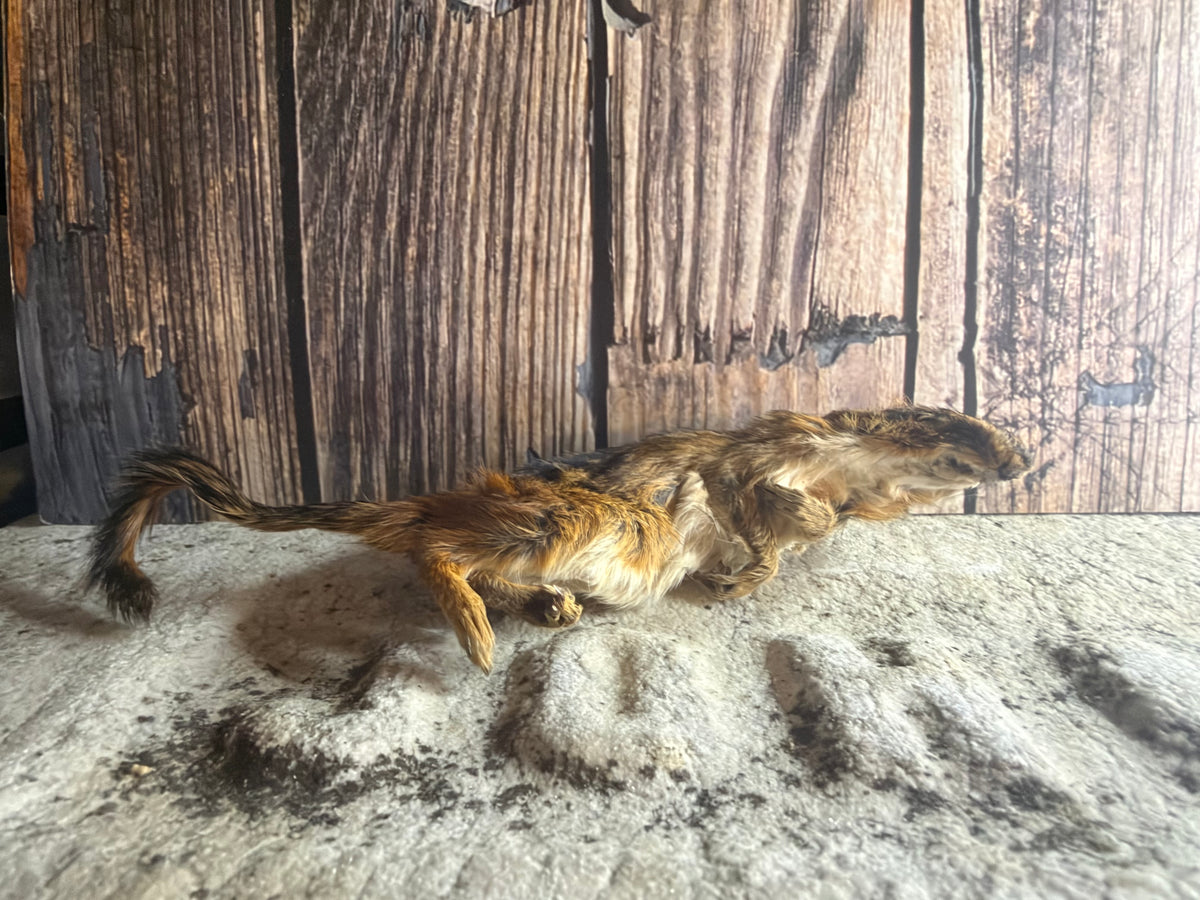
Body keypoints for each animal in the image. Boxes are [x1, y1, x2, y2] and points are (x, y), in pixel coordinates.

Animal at [87, 404, 1031, 673]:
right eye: (968, 425)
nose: (1024, 462)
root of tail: (418, 504)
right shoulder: (749, 466)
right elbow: (766, 519)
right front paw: (748, 566)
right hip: (591, 521)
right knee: (437, 559)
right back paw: (479, 638)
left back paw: (547, 609)